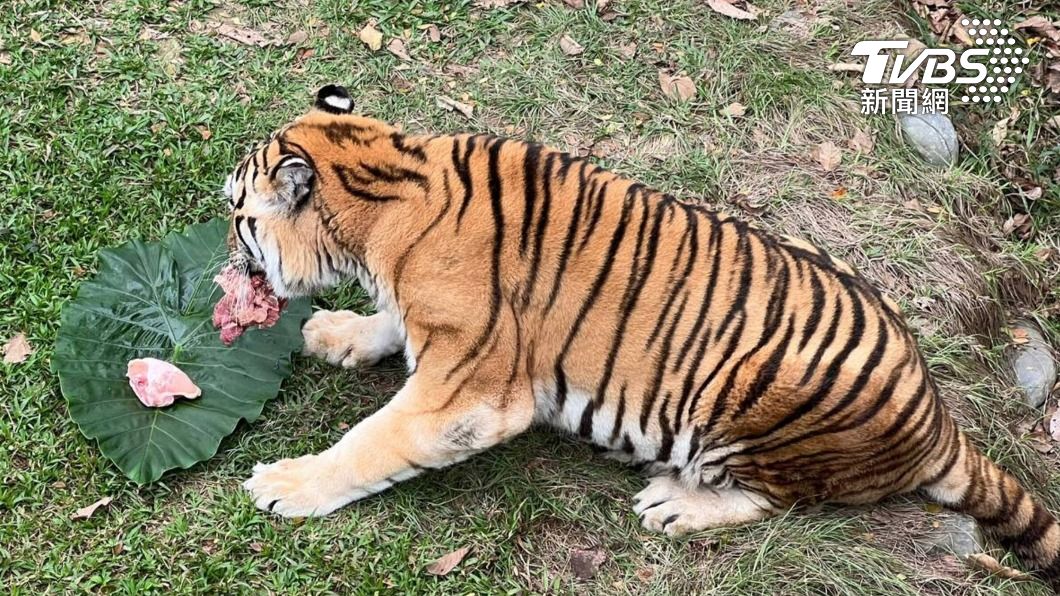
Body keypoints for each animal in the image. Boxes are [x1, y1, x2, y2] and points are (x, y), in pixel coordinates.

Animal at [231, 84, 1060, 588]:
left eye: (239, 215)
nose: (227, 268)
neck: (388, 185)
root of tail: (937, 417)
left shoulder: (467, 397)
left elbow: (369, 443)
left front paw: (286, 485)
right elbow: (385, 328)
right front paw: (338, 332)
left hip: (748, 402)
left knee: (780, 499)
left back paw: (674, 504)